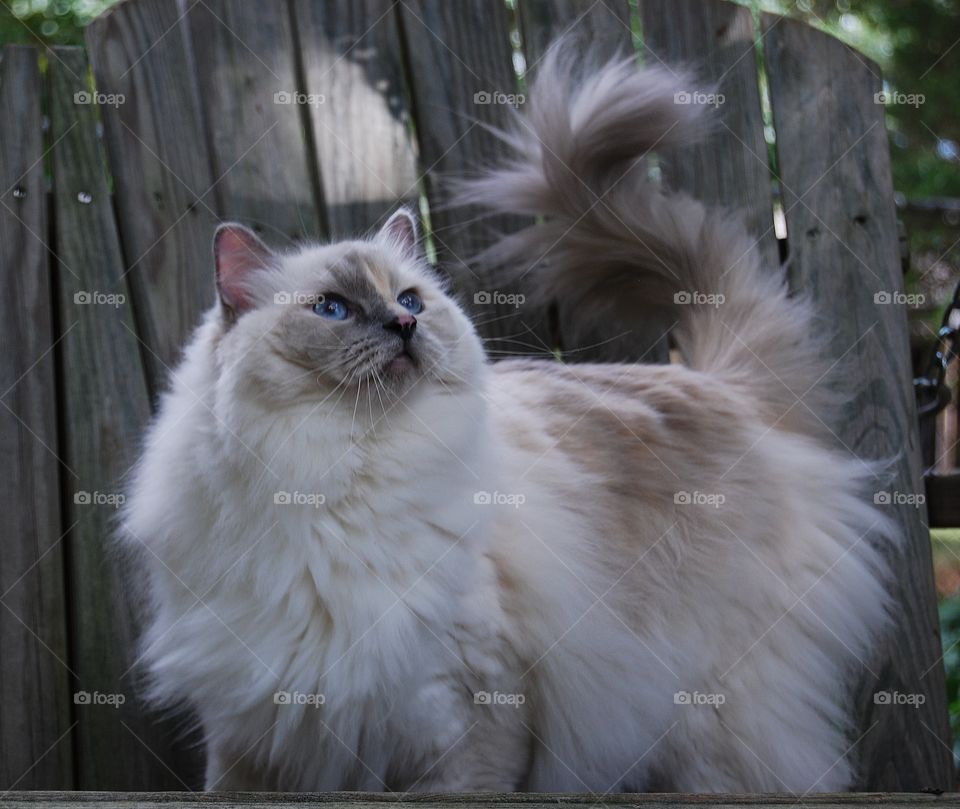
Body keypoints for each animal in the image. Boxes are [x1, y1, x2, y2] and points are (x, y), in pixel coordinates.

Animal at [124, 47, 896, 792]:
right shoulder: (252, 729)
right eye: (333, 309)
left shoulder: (465, 709)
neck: (335, 478)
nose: (404, 325)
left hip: (716, 718)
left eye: (410, 299)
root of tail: (713, 381)